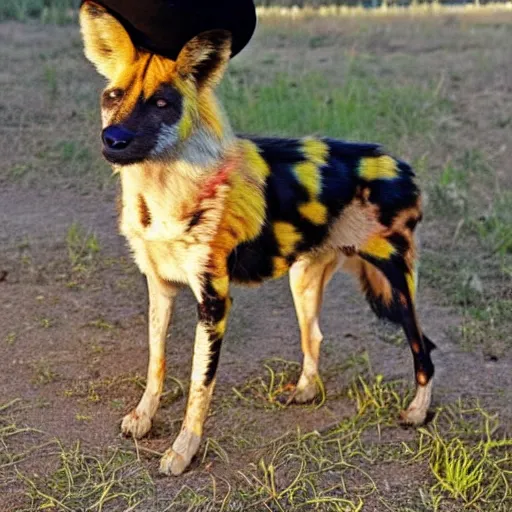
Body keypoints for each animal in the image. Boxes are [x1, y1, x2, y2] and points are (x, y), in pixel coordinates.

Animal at [81, 2, 436, 476]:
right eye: (114, 96)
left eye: (162, 103)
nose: (113, 140)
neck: (163, 192)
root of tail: (401, 165)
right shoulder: (161, 289)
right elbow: (156, 363)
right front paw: (144, 417)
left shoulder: (214, 305)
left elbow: (199, 387)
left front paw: (183, 451)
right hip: (304, 283)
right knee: (314, 337)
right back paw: (304, 391)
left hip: (396, 291)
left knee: (423, 351)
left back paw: (416, 413)